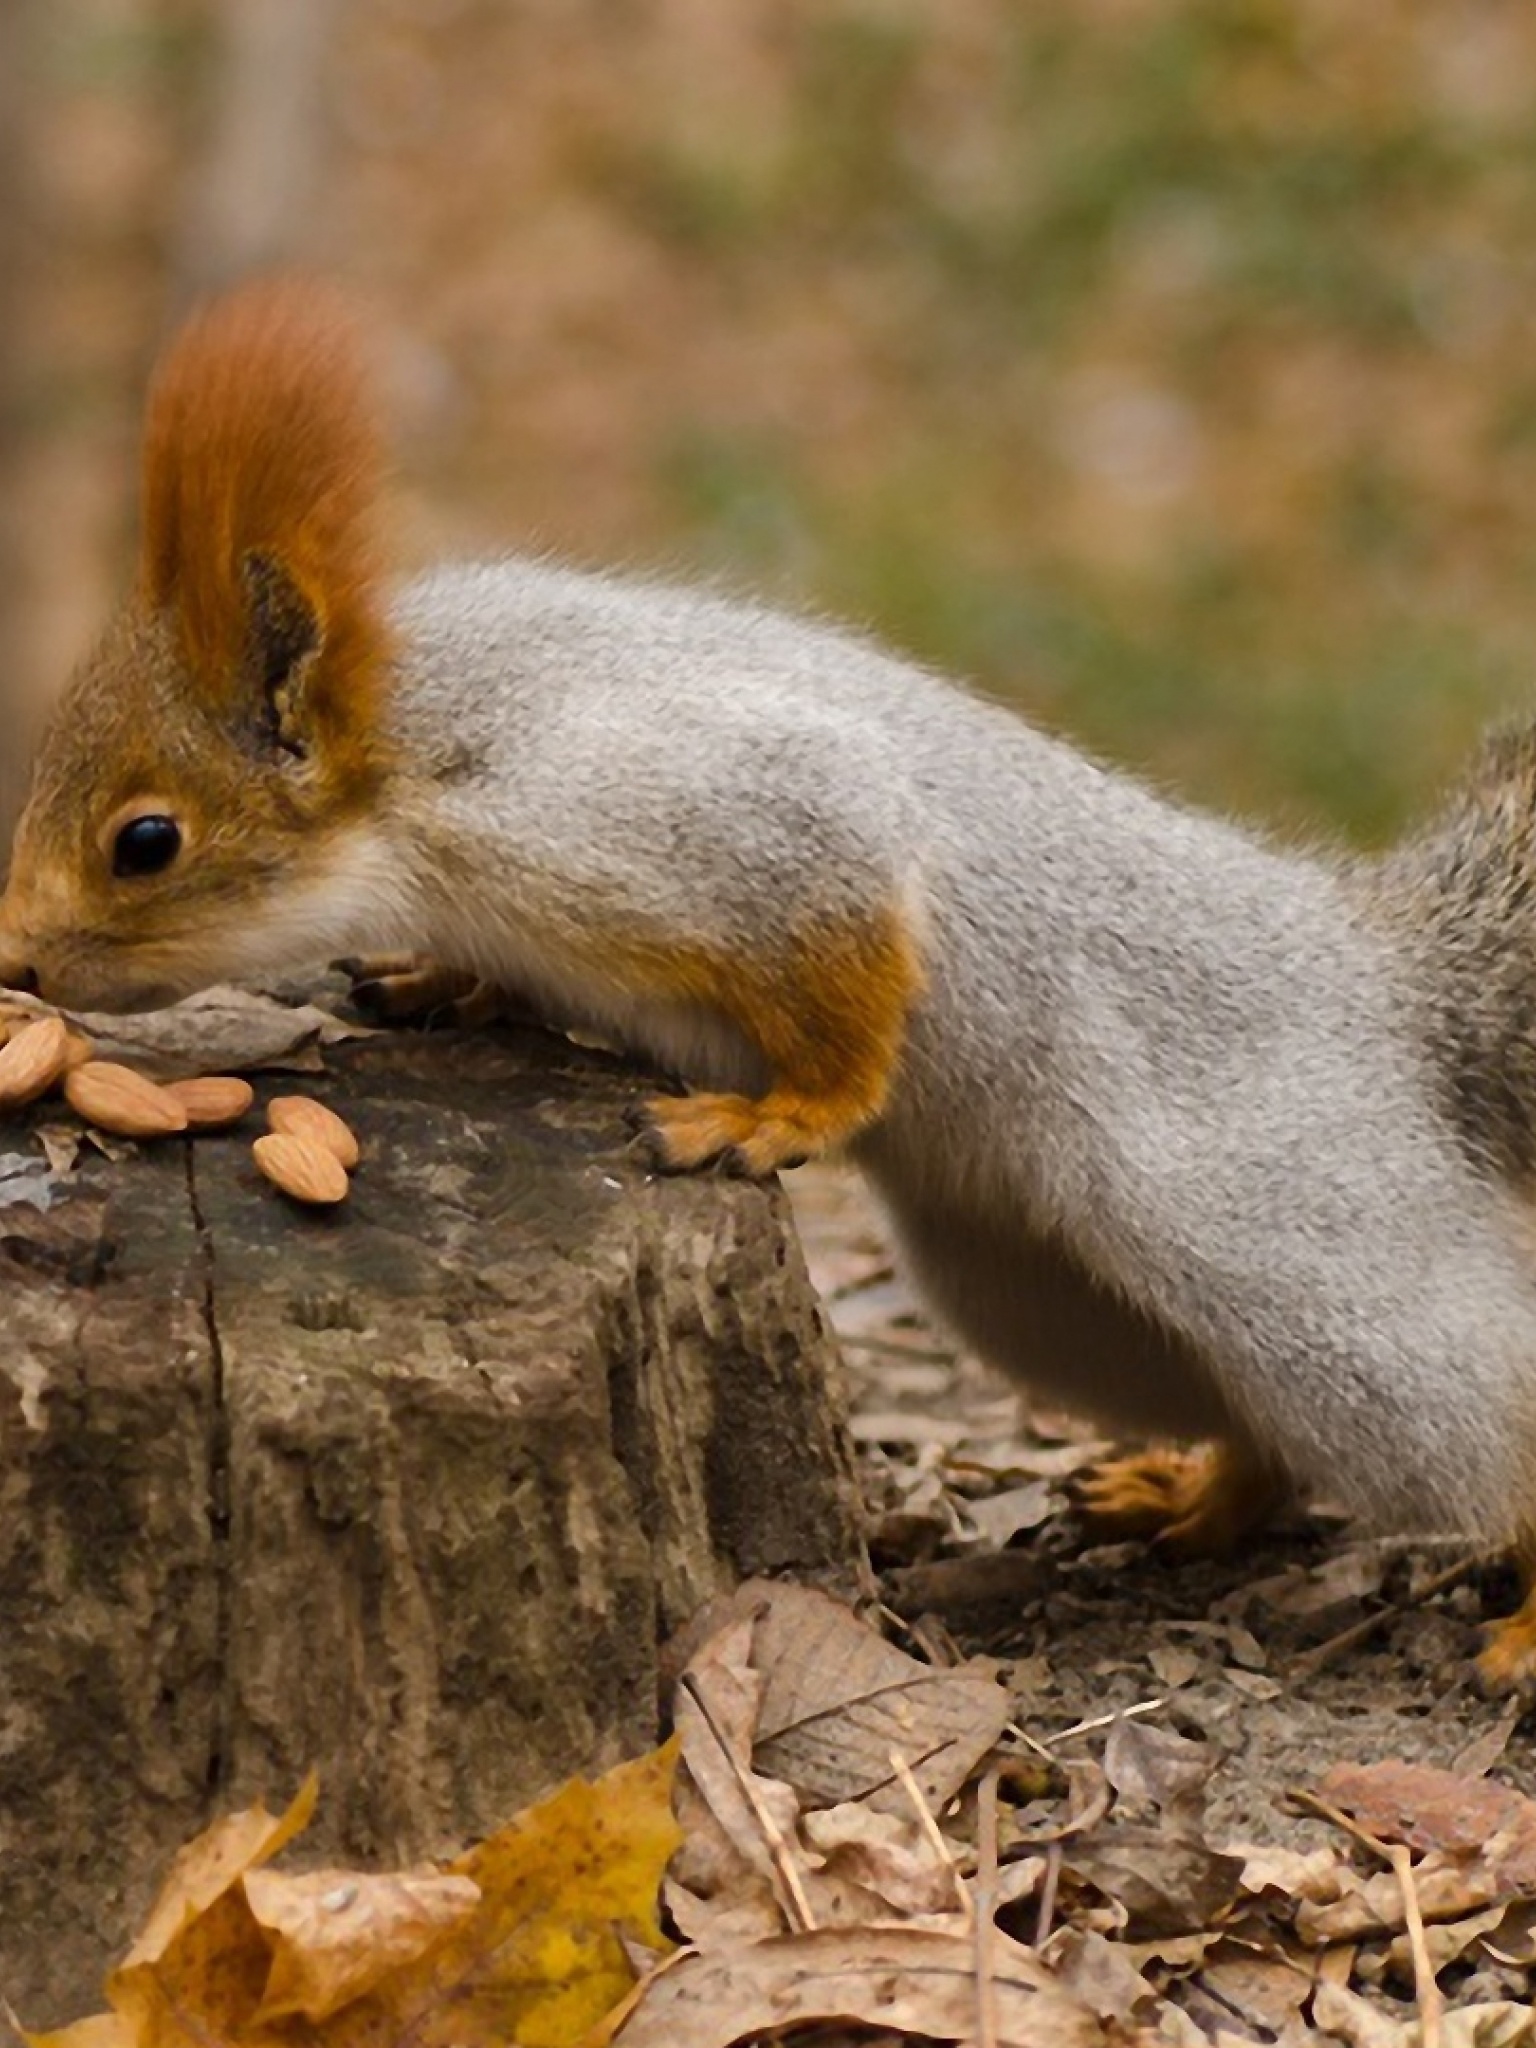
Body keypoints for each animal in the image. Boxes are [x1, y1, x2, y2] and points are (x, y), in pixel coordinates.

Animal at [3, 280, 1536, 1687]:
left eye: (147, 842)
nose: (14, 955)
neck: (421, 754)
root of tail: (1388, 982)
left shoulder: (702, 812)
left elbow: (847, 945)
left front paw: (775, 1117)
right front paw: (449, 982)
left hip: (1294, 1255)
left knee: (1466, 1412)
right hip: (1042, 1296)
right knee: (1262, 1433)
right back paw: (1194, 1497)